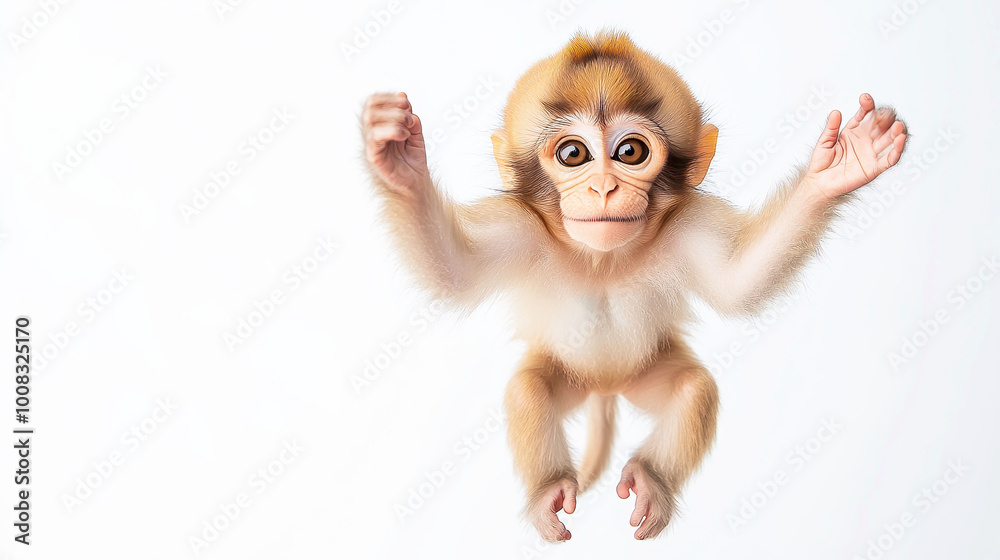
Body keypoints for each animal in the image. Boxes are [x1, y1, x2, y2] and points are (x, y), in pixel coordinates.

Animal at [361, 30, 907, 541]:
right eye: (573, 154)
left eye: (630, 152)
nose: (604, 188)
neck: (603, 260)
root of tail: (606, 388)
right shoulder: (519, 228)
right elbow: (455, 271)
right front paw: (398, 160)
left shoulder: (689, 228)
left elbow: (739, 284)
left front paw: (840, 168)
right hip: (571, 378)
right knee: (529, 388)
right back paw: (551, 489)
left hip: (644, 377)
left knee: (693, 389)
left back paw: (650, 480)